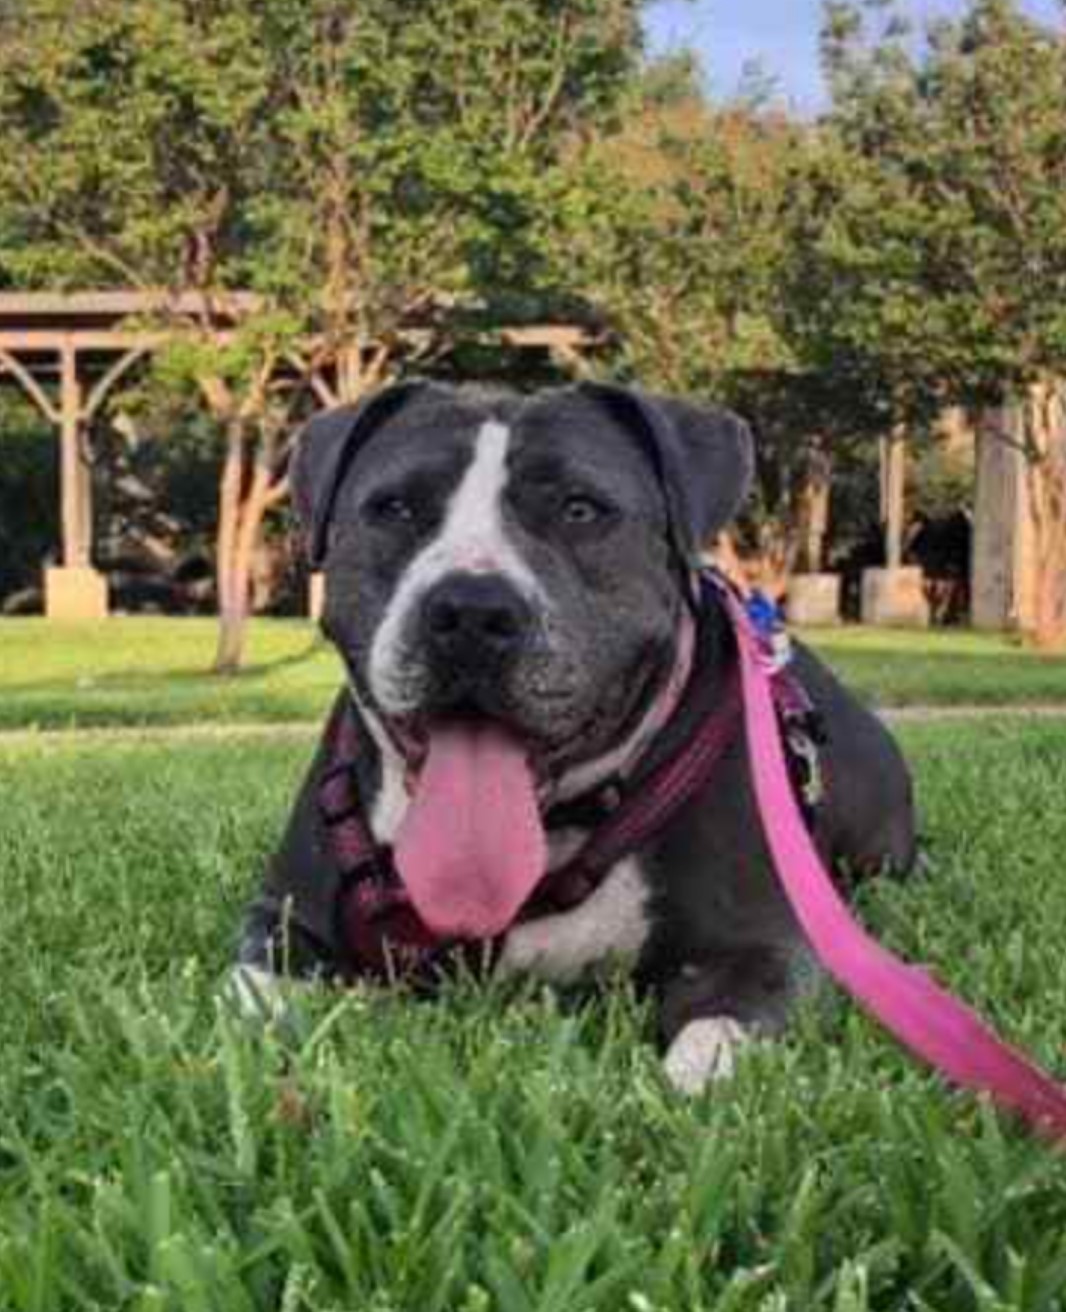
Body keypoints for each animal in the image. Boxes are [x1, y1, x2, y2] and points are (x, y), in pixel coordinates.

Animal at [233, 383, 913, 1096]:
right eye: (394, 508)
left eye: (581, 509)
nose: (471, 610)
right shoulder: (282, 917)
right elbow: (254, 998)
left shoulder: (765, 946)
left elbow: (714, 1041)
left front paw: (679, 1088)